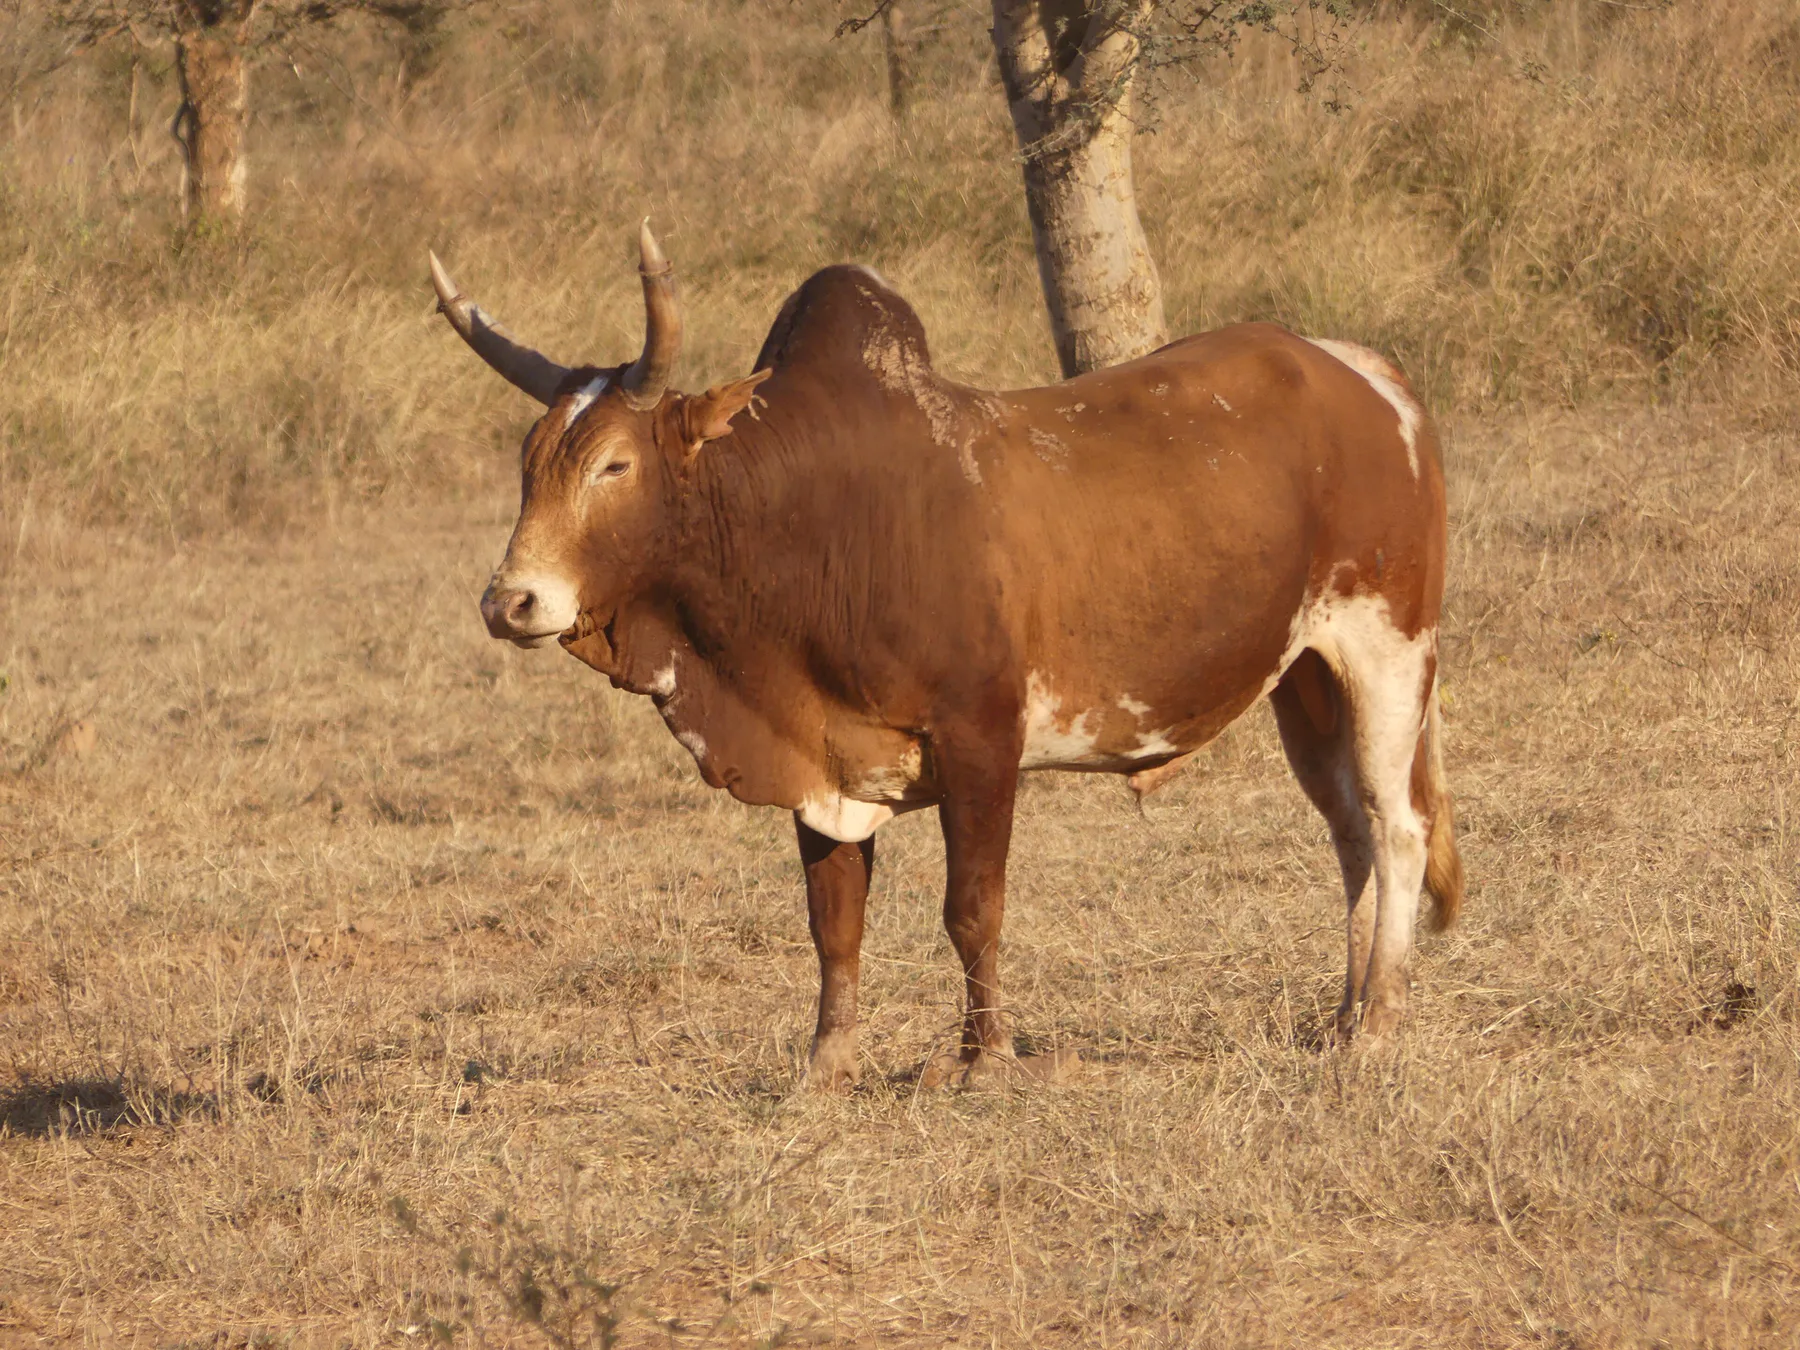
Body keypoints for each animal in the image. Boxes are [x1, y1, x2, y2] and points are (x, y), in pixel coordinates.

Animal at [428, 222, 1464, 1089]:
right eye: (529, 461)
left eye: (615, 465)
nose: (510, 601)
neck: (814, 518)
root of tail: (1364, 372)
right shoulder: (827, 760)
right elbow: (833, 920)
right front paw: (827, 1065)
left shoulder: (981, 743)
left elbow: (972, 908)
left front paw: (982, 1059)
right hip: (1306, 679)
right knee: (1349, 832)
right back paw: (1342, 1015)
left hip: (1387, 648)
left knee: (1397, 826)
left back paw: (1378, 1025)